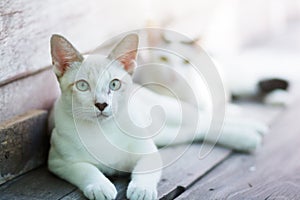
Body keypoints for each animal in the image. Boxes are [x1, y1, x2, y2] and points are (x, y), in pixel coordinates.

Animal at [48, 34, 268, 200]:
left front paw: (141, 190)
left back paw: (251, 129)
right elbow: (87, 170)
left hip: (171, 113)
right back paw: (247, 137)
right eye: (82, 86)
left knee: (204, 119)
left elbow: (144, 172)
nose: (101, 104)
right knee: (200, 130)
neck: (104, 131)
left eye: (114, 84)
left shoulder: (149, 153)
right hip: (168, 134)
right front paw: (100, 186)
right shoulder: (59, 162)